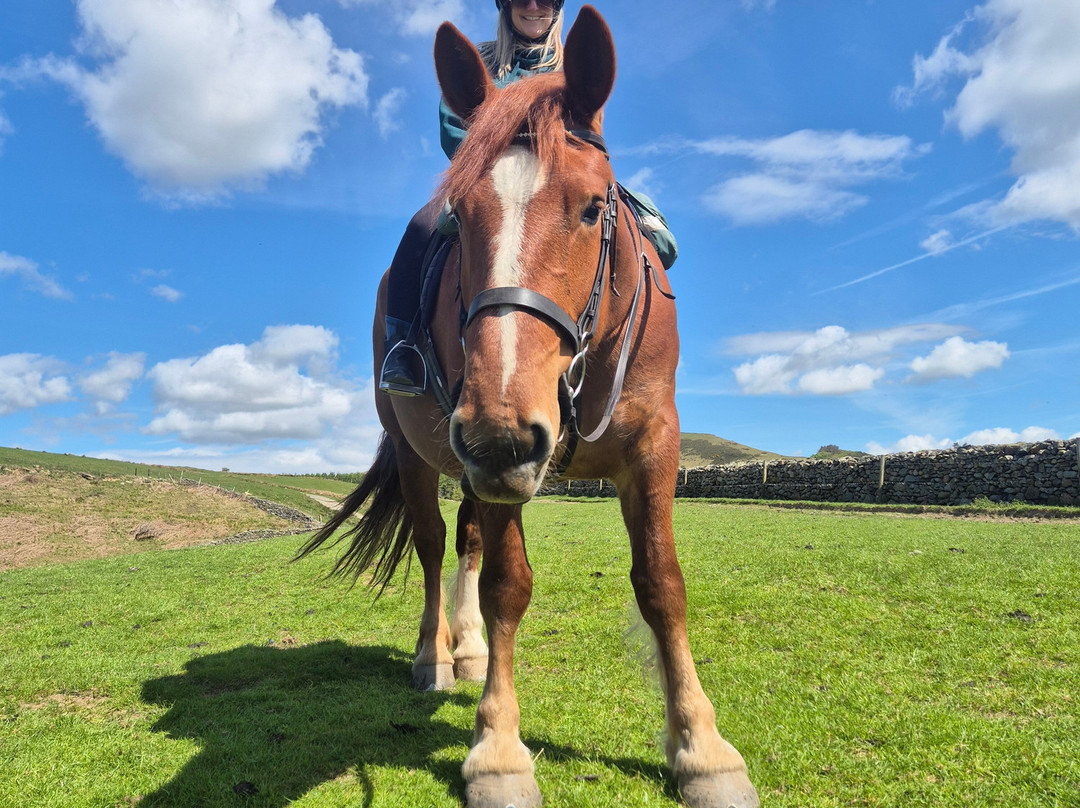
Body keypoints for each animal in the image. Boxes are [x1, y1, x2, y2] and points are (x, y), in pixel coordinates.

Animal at [298, 7, 758, 808]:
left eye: (594, 206)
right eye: (458, 215)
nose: (503, 433)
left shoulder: (653, 445)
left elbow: (662, 584)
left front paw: (702, 749)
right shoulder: (493, 462)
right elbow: (508, 588)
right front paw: (499, 751)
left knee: (465, 542)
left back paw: (469, 649)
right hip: (428, 453)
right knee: (432, 546)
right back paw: (436, 656)